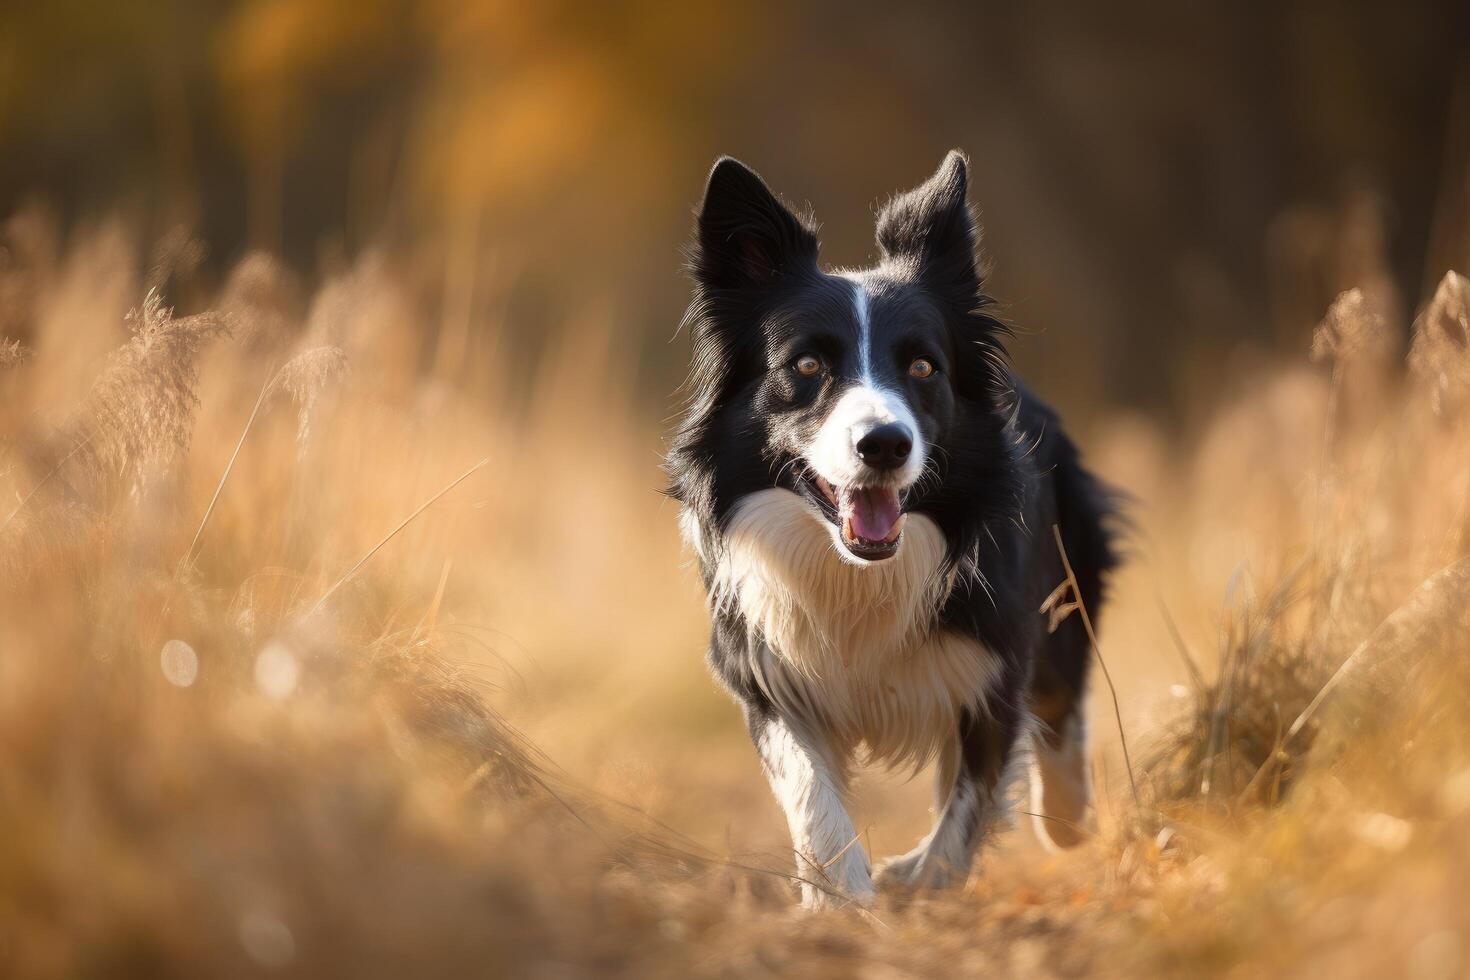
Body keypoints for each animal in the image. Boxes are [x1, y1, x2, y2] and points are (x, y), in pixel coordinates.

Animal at [667, 153, 1111, 910]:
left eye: (923, 367)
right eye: (807, 366)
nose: (884, 444)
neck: (857, 571)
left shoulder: (993, 664)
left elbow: (968, 809)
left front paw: (914, 881)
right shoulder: (765, 666)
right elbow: (812, 795)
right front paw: (840, 900)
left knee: (1061, 702)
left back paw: (1067, 817)